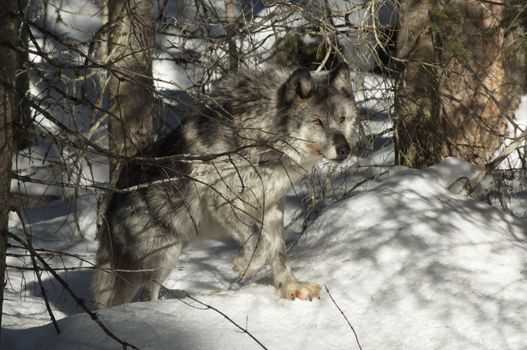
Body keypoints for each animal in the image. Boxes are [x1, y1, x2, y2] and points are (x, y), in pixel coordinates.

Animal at [93, 65, 360, 306]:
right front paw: (244, 266)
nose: (344, 149)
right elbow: (261, 244)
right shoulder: (223, 201)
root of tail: (111, 204)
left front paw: (290, 287)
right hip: (164, 256)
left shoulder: (272, 205)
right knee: (146, 294)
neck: (264, 140)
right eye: (317, 122)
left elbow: (278, 253)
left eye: (342, 119)